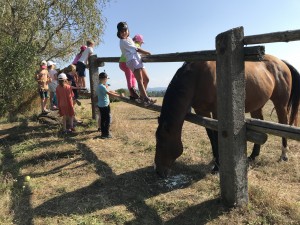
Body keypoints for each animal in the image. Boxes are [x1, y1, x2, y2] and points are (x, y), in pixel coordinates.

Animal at [155, 54, 300, 178]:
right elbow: (211, 136)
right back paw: (253, 155)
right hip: (257, 106)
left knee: (283, 123)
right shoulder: (202, 112)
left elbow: (217, 135)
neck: (198, 76)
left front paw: (217, 167)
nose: (158, 171)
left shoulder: (217, 112)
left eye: (162, 141)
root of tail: (282, 62)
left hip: (280, 104)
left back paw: (284, 155)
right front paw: (216, 162)